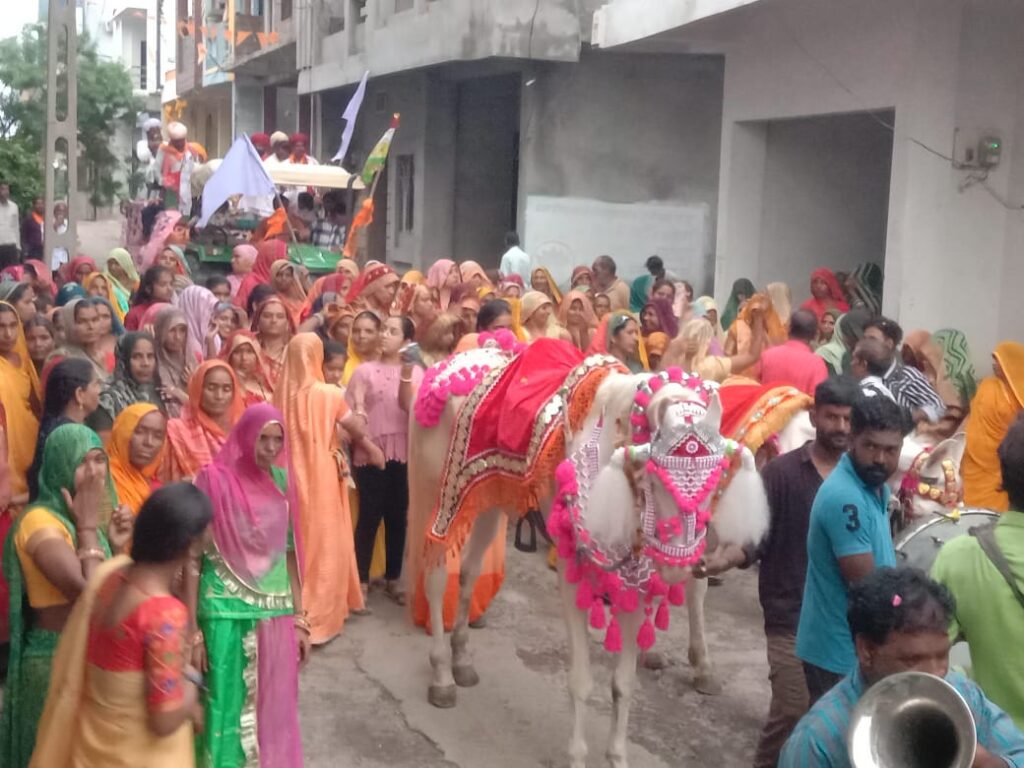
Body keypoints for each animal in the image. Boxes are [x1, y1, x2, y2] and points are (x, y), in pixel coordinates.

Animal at [403, 335, 765, 768]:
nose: (679, 568)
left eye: (714, 479)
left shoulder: (634, 583)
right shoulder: (572, 574)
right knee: (438, 577)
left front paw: (618, 756)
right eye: (656, 475)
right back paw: (442, 675)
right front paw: (578, 756)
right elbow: (580, 681)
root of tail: (449, 364)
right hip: (437, 495)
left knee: (470, 573)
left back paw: (461, 661)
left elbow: (623, 684)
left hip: (486, 500)